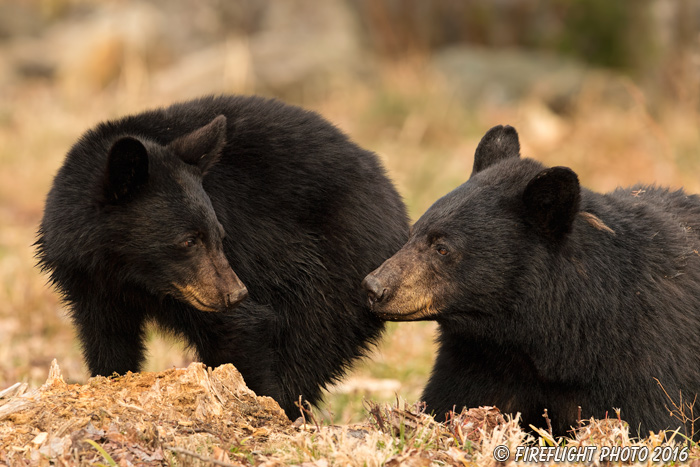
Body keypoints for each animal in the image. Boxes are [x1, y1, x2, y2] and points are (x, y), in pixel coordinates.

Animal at [37, 94, 410, 416]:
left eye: (219, 234)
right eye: (188, 241)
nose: (235, 293)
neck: (129, 273)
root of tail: (398, 211)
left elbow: (242, 330)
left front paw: (258, 405)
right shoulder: (90, 286)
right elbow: (108, 343)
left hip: (333, 273)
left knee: (309, 346)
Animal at [364, 124, 700, 438]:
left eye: (442, 247)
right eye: (412, 233)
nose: (374, 288)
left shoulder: (645, 356)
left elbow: (654, 420)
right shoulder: (476, 359)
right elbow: (450, 401)